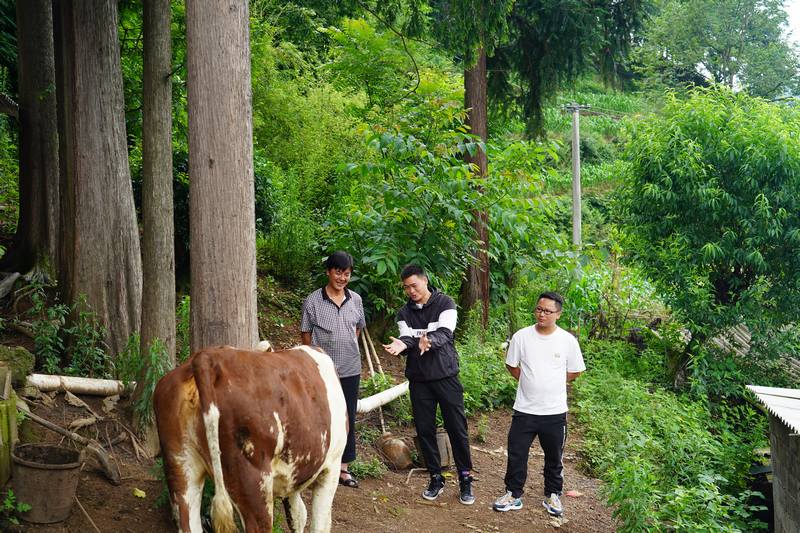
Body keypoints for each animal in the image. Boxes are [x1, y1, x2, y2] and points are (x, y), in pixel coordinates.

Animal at [153, 344, 346, 532]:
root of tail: (207, 358)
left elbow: (297, 515)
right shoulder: (332, 466)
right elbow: (319, 523)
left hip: (181, 467)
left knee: (188, 522)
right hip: (254, 481)